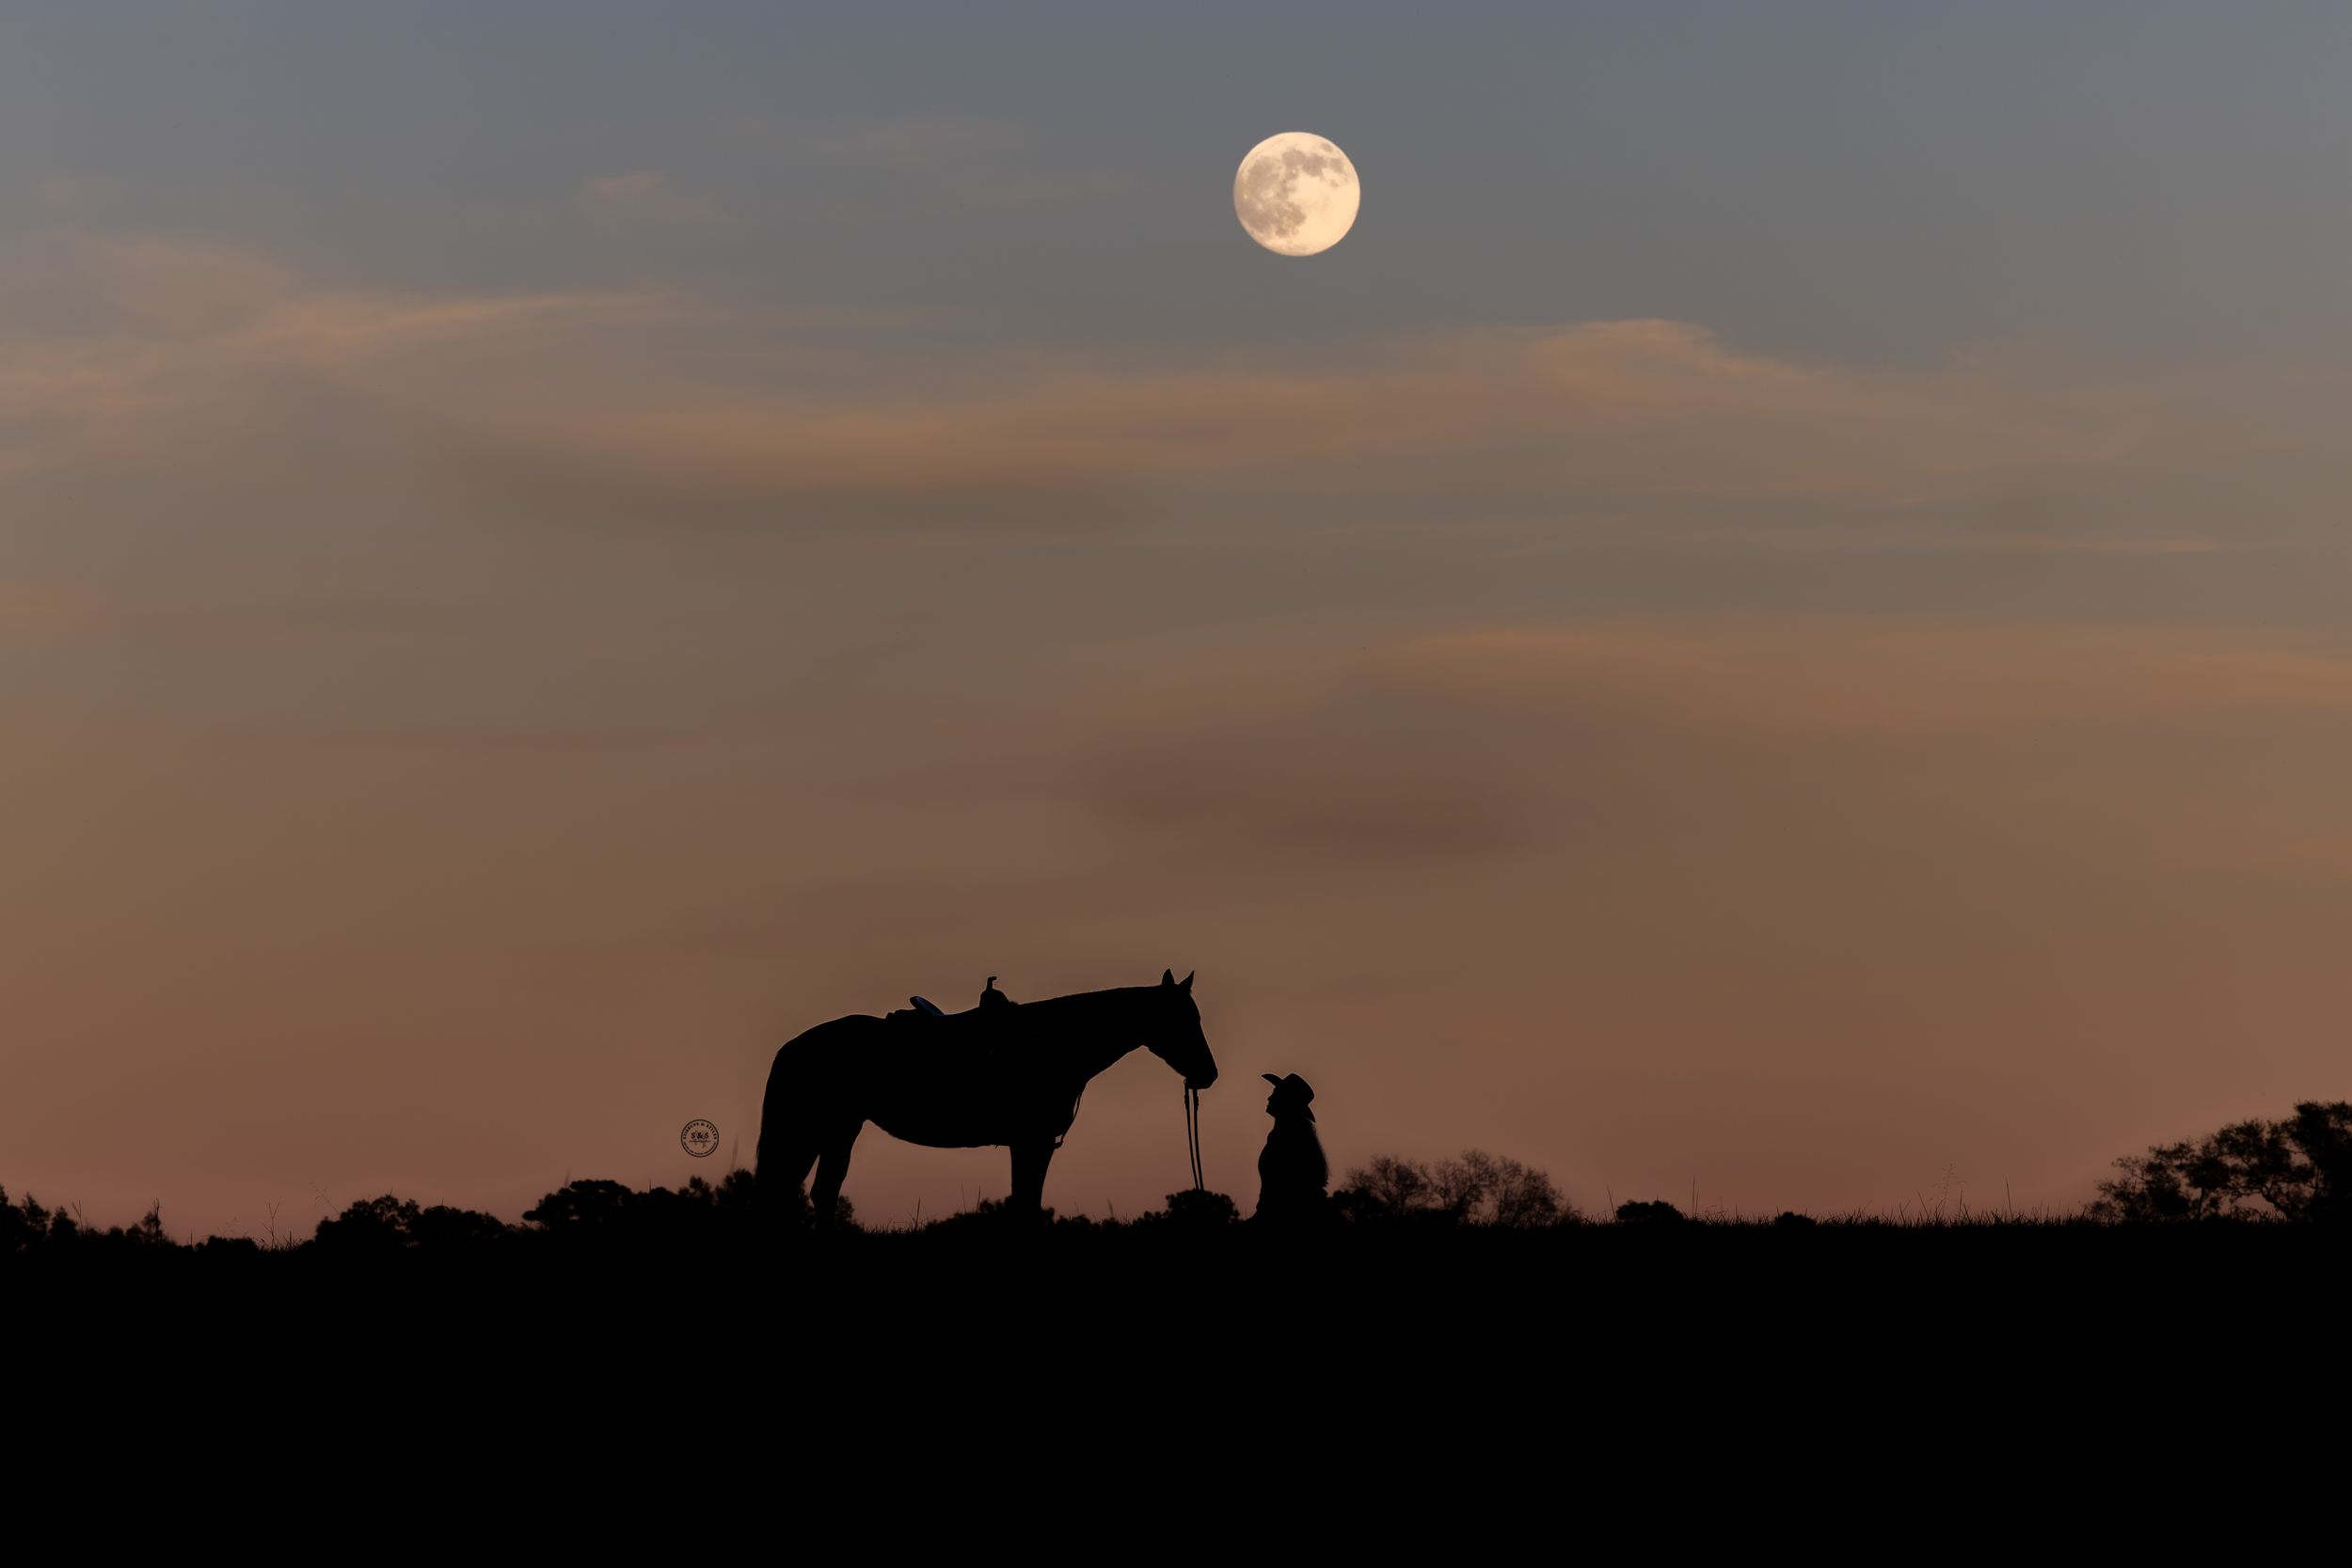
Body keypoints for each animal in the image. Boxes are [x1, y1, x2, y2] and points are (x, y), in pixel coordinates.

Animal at [757, 968, 1218, 1223]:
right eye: (1183, 1018)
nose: (1209, 1074)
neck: (1051, 1042)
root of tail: (794, 1046)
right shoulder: (1031, 1141)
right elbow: (1026, 1205)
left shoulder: (1031, 1143)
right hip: (817, 1129)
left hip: (840, 1130)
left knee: (820, 1192)